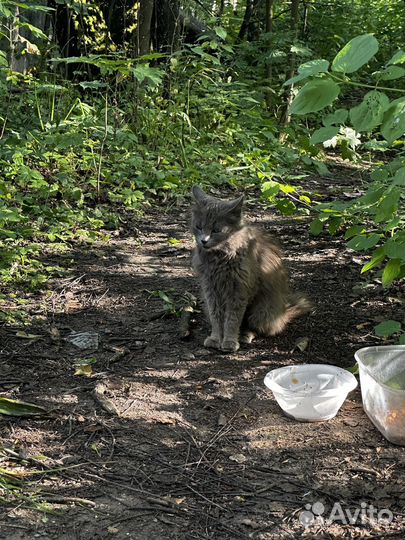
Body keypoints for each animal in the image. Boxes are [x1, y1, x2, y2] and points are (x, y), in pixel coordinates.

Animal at [191, 187, 310, 354]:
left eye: (216, 230)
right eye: (199, 227)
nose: (203, 241)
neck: (218, 257)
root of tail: (283, 312)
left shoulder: (239, 290)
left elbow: (232, 319)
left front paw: (229, 341)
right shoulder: (210, 288)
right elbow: (216, 317)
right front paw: (215, 338)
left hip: (262, 309)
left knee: (256, 327)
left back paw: (245, 335)